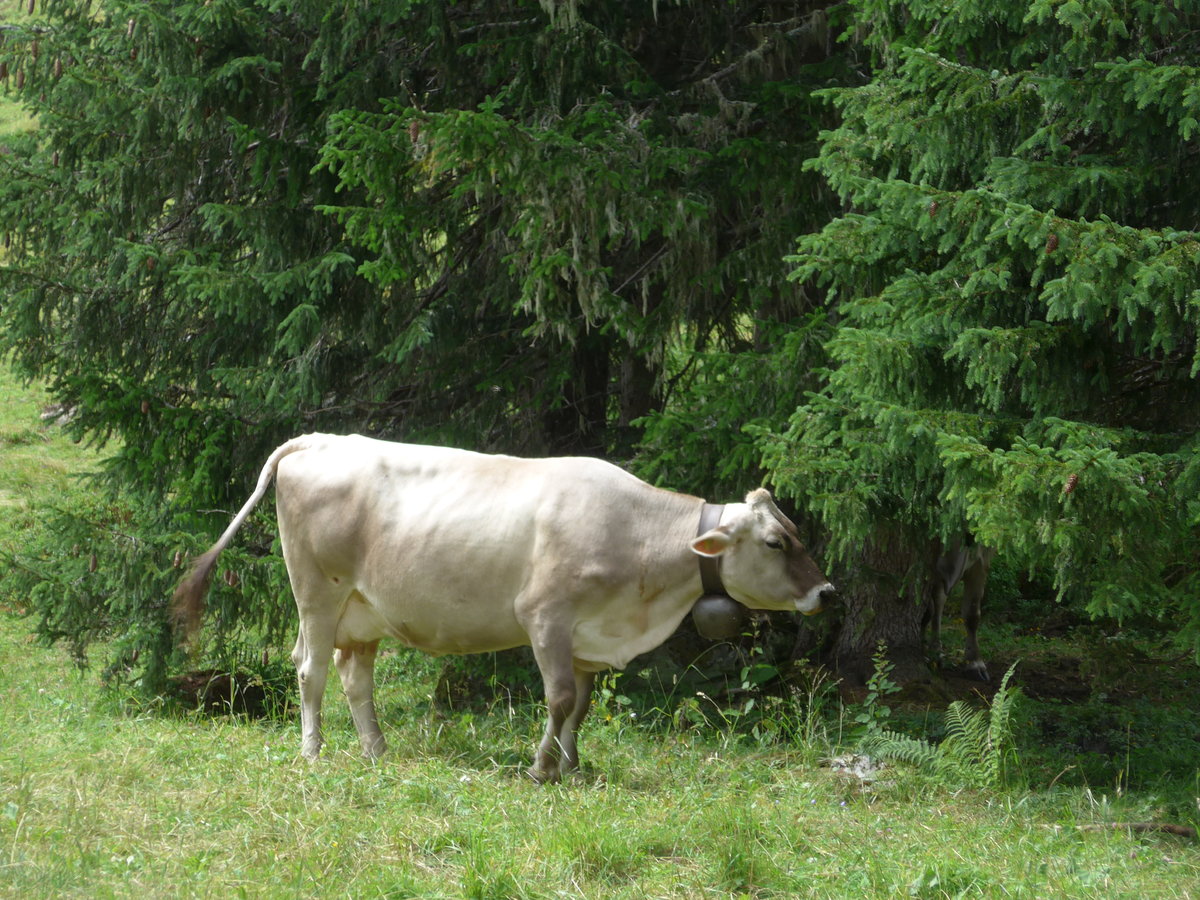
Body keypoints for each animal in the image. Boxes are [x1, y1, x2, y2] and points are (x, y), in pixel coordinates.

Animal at [173, 434, 836, 783]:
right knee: (310, 670)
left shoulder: (586, 639)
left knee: (354, 677)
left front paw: (572, 766)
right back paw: (312, 752)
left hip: (362, 612)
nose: (827, 593)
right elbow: (559, 699)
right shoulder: (545, 617)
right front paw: (543, 769)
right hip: (317, 594)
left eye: (794, 531)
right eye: (776, 543)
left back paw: (377, 751)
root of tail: (320, 439)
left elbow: (581, 708)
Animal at [924, 540, 995, 681]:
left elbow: (972, 615)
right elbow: (925, 609)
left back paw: (936, 651)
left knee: (939, 601)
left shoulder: (980, 560)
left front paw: (974, 663)